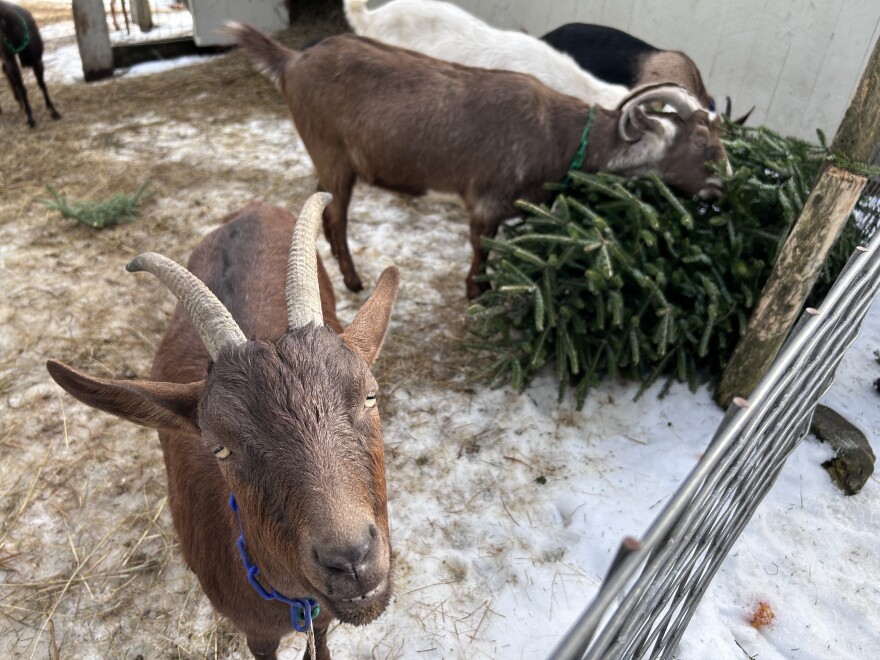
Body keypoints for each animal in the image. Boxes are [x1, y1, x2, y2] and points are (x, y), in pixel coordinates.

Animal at [46, 197, 400, 660]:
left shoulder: (321, 617)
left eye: (369, 396)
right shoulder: (256, 632)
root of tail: (252, 207)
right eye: (220, 448)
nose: (352, 560)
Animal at [230, 24, 728, 300]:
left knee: (320, 205)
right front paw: (476, 293)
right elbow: (482, 248)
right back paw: (353, 281)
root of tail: (291, 61)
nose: (722, 189)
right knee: (337, 215)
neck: (560, 135)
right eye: (703, 144)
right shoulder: (488, 201)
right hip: (331, 152)